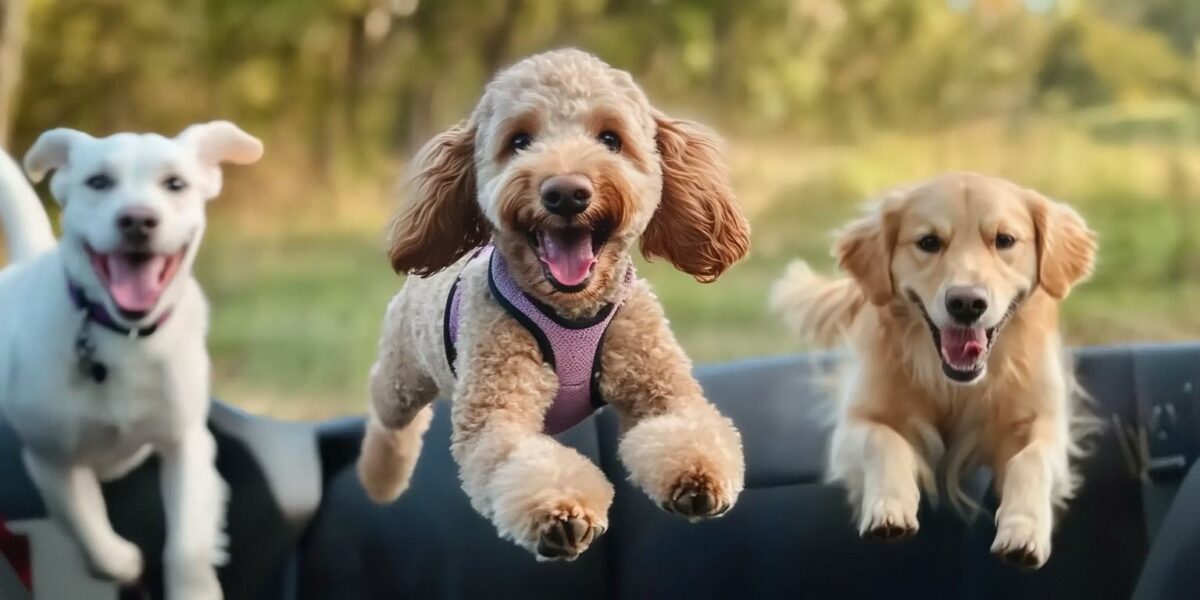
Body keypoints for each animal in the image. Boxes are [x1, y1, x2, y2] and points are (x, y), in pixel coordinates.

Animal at [0, 120, 261, 595]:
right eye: (98, 182)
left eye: (175, 184)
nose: (138, 219)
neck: (126, 339)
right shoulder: (51, 460)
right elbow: (84, 526)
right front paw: (120, 562)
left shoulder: (186, 442)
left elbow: (186, 544)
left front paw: (195, 587)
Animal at [357, 49, 748, 559]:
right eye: (519, 140)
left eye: (610, 138)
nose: (566, 192)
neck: (571, 312)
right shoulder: (495, 410)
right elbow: (519, 460)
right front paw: (561, 511)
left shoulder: (659, 384)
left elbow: (685, 428)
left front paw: (696, 478)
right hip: (403, 374)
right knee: (388, 414)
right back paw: (381, 477)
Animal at [768, 172, 1099, 566]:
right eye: (928, 242)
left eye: (1004, 240)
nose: (966, 303)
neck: (954, 385)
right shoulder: (856, 421)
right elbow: (885, 439)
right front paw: (889, 506)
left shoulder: (1043, 421)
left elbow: (1031, 460)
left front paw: (1024, 529)